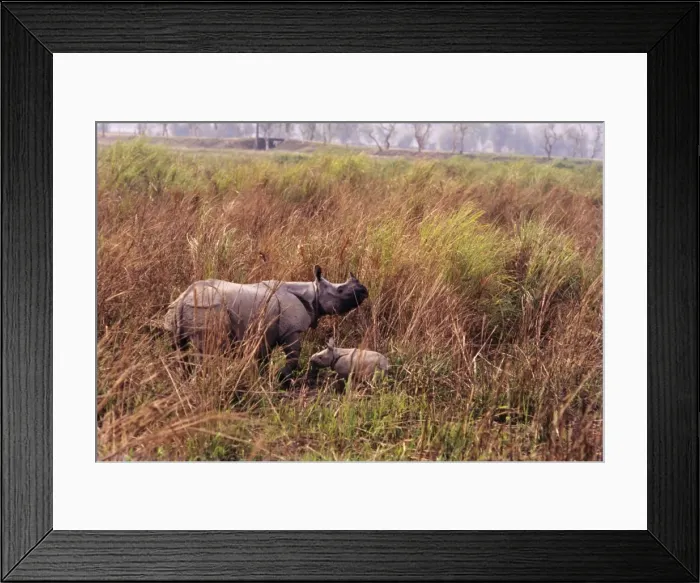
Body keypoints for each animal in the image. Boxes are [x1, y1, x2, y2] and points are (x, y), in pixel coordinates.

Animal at [161, 266, 368, 387]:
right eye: (340, 290)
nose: (364, 290)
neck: (314, 293)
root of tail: (183, 299)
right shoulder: (292, 330)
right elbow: (293, 355)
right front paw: (282, 379)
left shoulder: (265, 330)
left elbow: (263, 358)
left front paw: (263, 378)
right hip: (206, 309)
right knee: (204, 350)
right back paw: (201, 381)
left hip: (176, 313)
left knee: (180, 350)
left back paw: (184, 382)